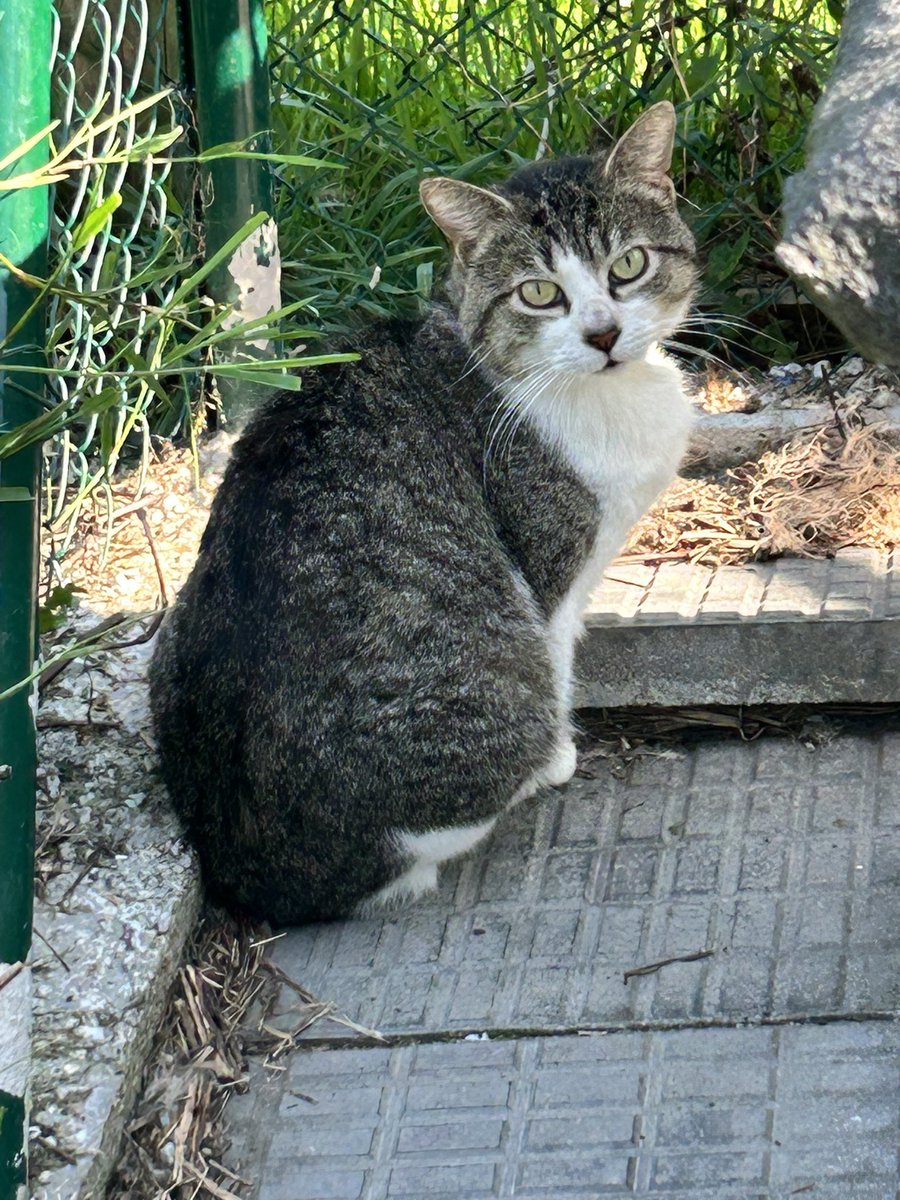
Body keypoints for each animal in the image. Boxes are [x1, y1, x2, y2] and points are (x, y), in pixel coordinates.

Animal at [150, 103, 696, 926]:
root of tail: (264, 875)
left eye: (628, 266)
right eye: (539, 293)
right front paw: (563, 757)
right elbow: (561, 654)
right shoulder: (552, 574)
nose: (603, 333)